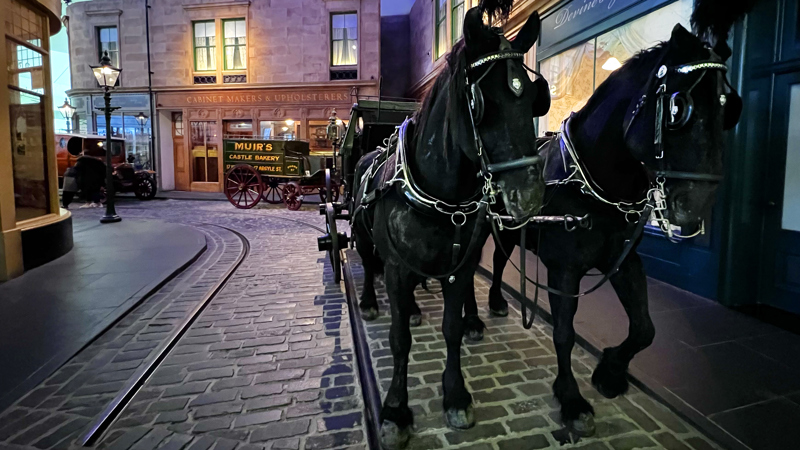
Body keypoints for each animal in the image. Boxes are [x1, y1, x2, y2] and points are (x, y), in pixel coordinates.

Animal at [354, 5, 552, 448]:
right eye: (480, 102)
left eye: (535, 100)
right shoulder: (396, 268)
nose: (529, 197)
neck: (441, 196)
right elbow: (399, 339)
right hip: (361, 237)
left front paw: (456, 394)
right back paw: (370, 301)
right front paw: (395, 410)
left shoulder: (459, 268)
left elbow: (451, 328)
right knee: (368, 265)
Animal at [482, 20, 752, 436]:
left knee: (497, 261)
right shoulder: (564, 270)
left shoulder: (624, 261)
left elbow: (644, 328)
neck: (595, 186)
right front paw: (571, 399)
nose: (694, 206)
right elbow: (564, 332)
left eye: (730, 108)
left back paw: (496, 301)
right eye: (677, 107)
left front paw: (610, 370)